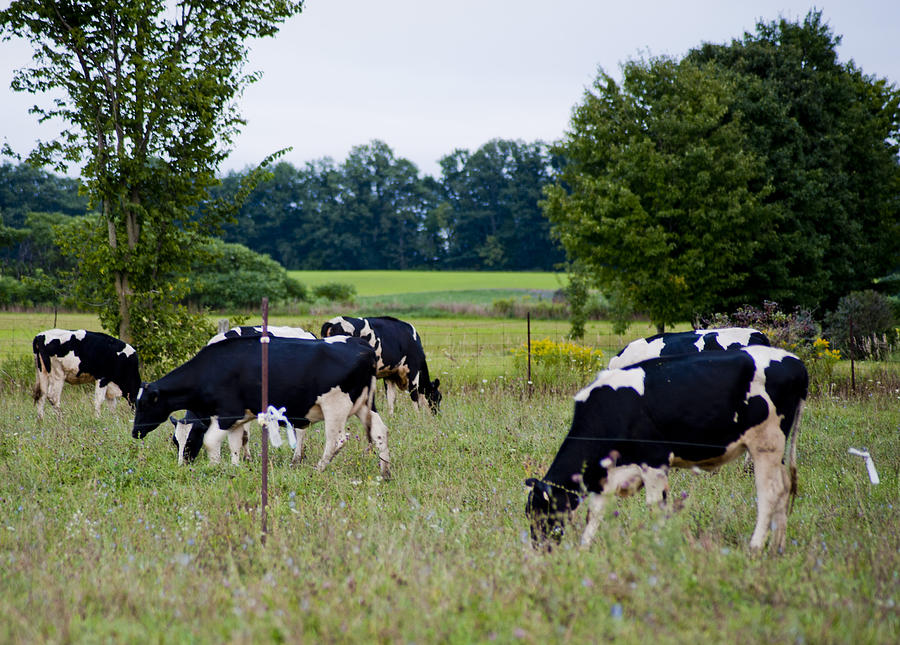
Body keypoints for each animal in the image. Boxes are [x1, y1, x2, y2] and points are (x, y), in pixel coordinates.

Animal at [134, 334, 390, 476]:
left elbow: (210, 442)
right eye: (175, 441)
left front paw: (215, 468)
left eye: (144, 404)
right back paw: (385, 471)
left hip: (335, 406)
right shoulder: (238, 419)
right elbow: (236, 444)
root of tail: (363, 347)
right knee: (380, 431)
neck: (210, 369)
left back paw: (317, 470)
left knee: (336, 440)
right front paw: (234, 469)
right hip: (366, 406)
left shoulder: (228, 414)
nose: (135, 432)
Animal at [524, 348, 804, 552]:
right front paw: (584, 550)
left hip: (766, 443)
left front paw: (659, 546)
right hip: (776, 451)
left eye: (540, 513)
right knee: (783, 489)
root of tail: (796, 362)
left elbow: (655, 508)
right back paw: (776, 548)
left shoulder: (654, 460)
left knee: (770, 492)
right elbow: (595, 514)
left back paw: (755, 547)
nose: (540, 549)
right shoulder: (608, 475)